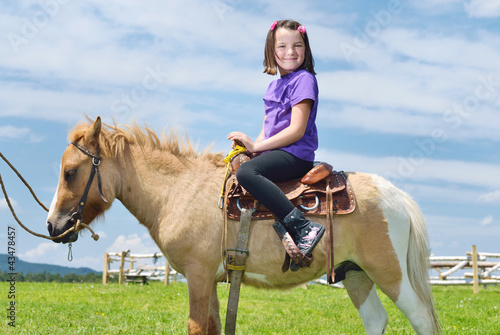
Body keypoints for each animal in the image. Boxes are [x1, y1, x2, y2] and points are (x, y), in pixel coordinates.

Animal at [46, 118, 438, 335]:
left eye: (71, 172)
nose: (53, 225)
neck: (179, 189)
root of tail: (397, 196)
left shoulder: (198, 275)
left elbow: (196, 327)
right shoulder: (211, 279)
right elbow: (214, 327)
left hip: (389, 272)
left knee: (421, 320)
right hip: (355, 274)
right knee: (375, 321)